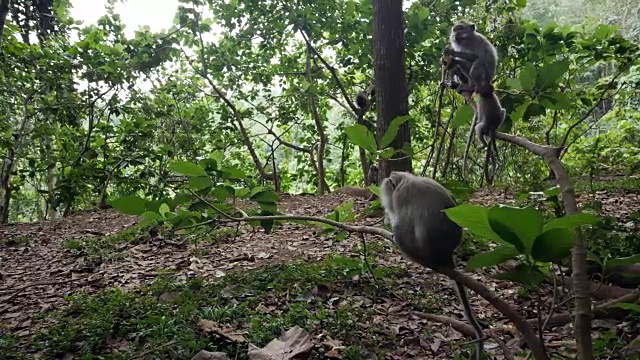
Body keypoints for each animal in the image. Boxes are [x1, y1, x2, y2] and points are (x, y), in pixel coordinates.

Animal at [380, 172, 484, 360]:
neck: (406, 179)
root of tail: (446, 253)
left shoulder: (400, 196)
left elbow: (403, 222)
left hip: (422, 250)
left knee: (400, 228)